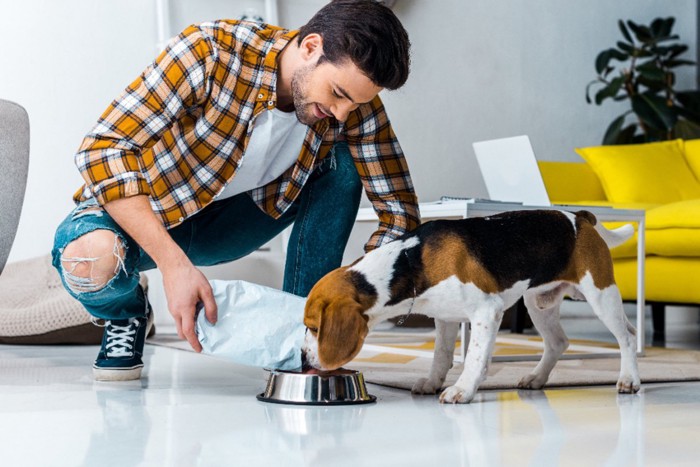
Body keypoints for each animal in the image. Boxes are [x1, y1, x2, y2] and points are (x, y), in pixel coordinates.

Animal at [300, 210, 640, 404]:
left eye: (314, 327)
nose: (303, 357)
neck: (411, 262)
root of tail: (579, 217)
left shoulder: (487, 312)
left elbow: (475, 357)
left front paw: (462, 389)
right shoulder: (445, 317)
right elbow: (441, 356)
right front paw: (433, 383)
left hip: (600, 295)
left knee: (628, 337)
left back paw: (629, 379)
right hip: (537, 303)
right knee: (559, 342)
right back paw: (536, 378)